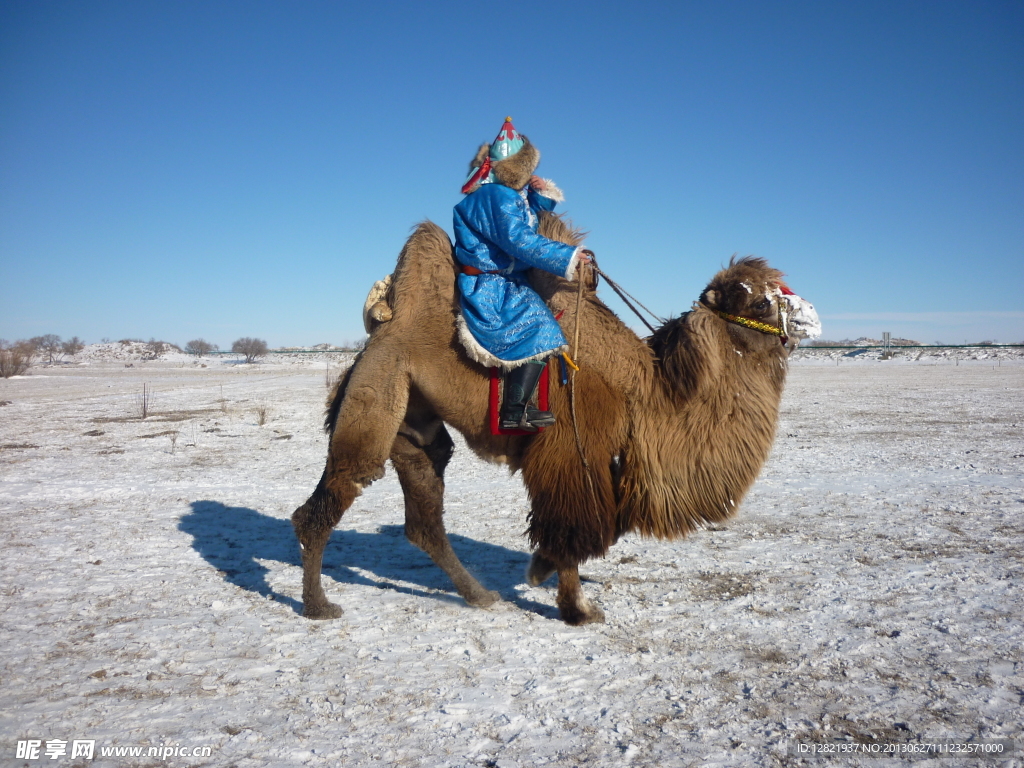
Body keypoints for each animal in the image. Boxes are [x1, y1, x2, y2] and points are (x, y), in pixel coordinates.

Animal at [292, 210, 819, 626]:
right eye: (761, 301)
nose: (811, 317)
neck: (647, 392)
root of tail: (381, 327)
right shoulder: (571, 449)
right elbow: (577, 526)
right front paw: (576, 608)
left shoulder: (604, 457)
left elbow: (608, 521)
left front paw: (541, 569)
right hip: (377, 393)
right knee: (334, 493)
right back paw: (319, 606)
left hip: (415, 423)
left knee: (424, 514)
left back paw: (480, 595)